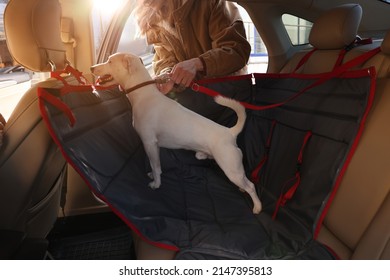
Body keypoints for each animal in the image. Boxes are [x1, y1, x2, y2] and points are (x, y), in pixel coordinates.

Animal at [91, 53, 262, 214]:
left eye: (110, 61)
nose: (92, 68)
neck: (143, 95)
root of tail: (229, 133)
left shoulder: (149, 143)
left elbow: (154, 166)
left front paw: (156, 184)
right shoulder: (155, 146)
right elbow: (157, 166)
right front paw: (155, 176)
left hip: (231, 169)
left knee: (251, 186)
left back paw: (257, 207)